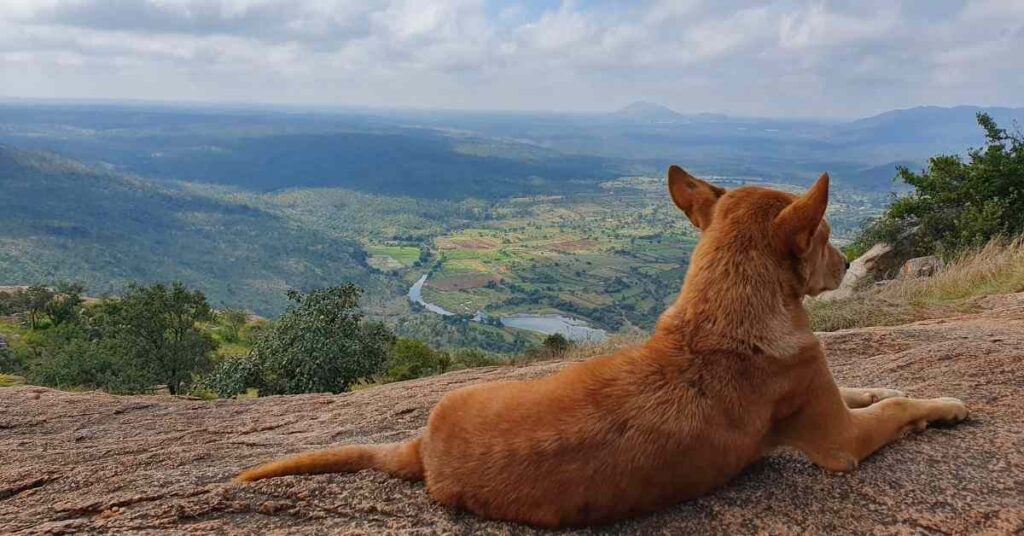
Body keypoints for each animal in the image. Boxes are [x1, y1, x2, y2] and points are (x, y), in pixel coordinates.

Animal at [234, 168, 966, 528]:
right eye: (826, 235)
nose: (845, 263)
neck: (720, 313)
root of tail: (422, 448)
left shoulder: (829, 399)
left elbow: (866, 387)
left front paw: (885, 383)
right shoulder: (840, 440)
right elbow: (894, 409)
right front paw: (944, 404)